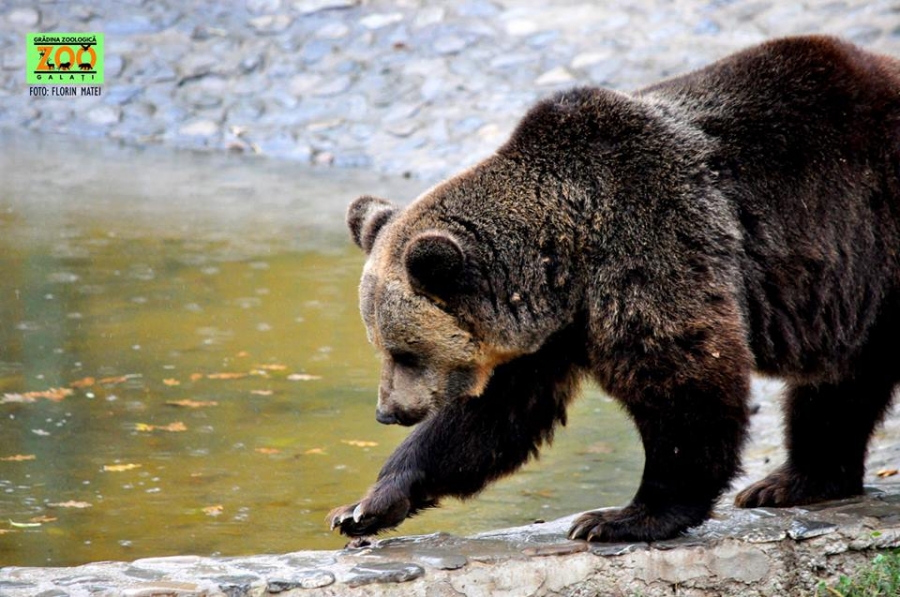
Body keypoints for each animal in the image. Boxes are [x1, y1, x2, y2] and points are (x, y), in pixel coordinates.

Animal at [328, 35, 900, 544]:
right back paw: (794, 481)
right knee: (841, 384)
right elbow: (490, 419)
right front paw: (367, 505)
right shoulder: (549, 334)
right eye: (382, 347)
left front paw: (622, 517)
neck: (565, 260)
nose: (389, 412)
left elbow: (684, 379)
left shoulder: (652, 246)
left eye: (405, 351)